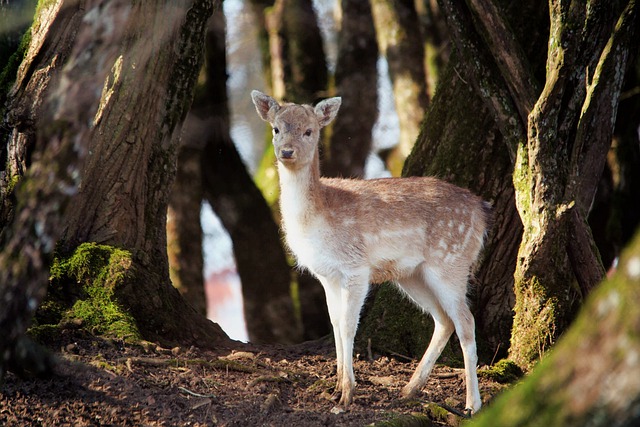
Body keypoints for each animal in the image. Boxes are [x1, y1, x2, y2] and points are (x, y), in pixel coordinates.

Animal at [250, 89, 490, 414]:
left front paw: (346, 395)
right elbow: (335, 322)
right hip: (412, 274)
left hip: (451, 262)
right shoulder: (327, 274)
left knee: (466, 321)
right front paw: (335, 387)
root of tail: (481, 212)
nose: (287, 152)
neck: (319, 219)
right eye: (276, 129)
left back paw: (472, 404)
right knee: (444, 320)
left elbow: (349, 325)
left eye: (309, 131)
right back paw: (409, 389)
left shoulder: (356, 268)